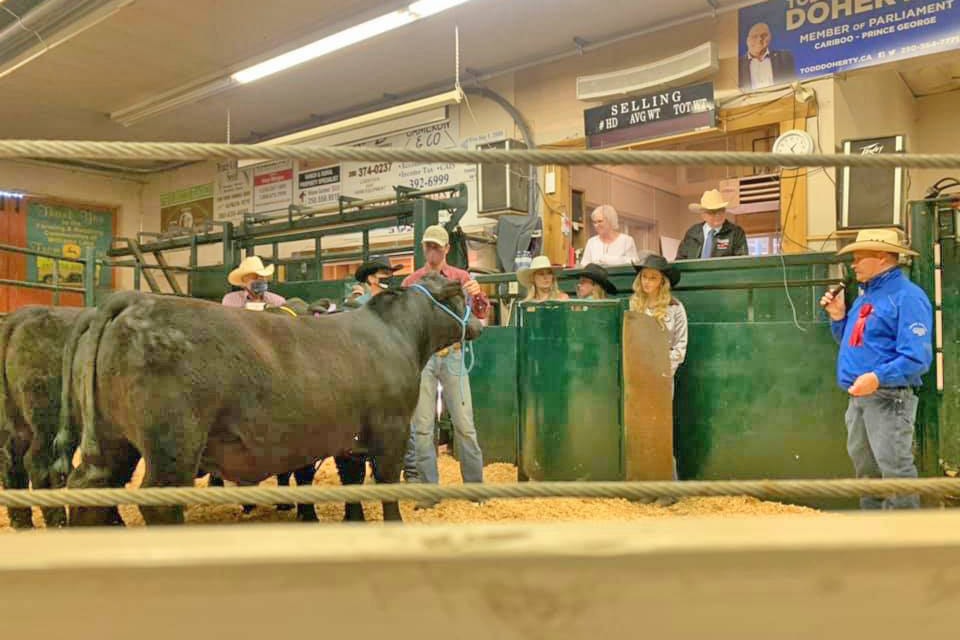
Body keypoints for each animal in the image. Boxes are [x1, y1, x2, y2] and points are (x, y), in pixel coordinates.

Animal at [58, 276, 480, 524]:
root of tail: (133, 300)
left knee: (91, 486)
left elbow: (351, 480)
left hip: (112, 439)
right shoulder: (391, 429)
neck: (394, 332)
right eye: (461, 294)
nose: (478, 322)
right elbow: (386, 482)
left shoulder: (351, 438)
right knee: (159, 500)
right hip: (173, 444)